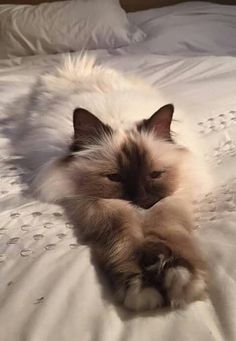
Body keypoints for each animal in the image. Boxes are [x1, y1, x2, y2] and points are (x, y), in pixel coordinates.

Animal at [12, 53, 210, 310]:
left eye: (154, 175)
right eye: (114, 178)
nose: (141, 201)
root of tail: (77, 65)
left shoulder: (170, 200)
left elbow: (171, 235)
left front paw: (177, 274)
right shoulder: (97, 204)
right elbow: (122, 242)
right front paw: (141, 286)